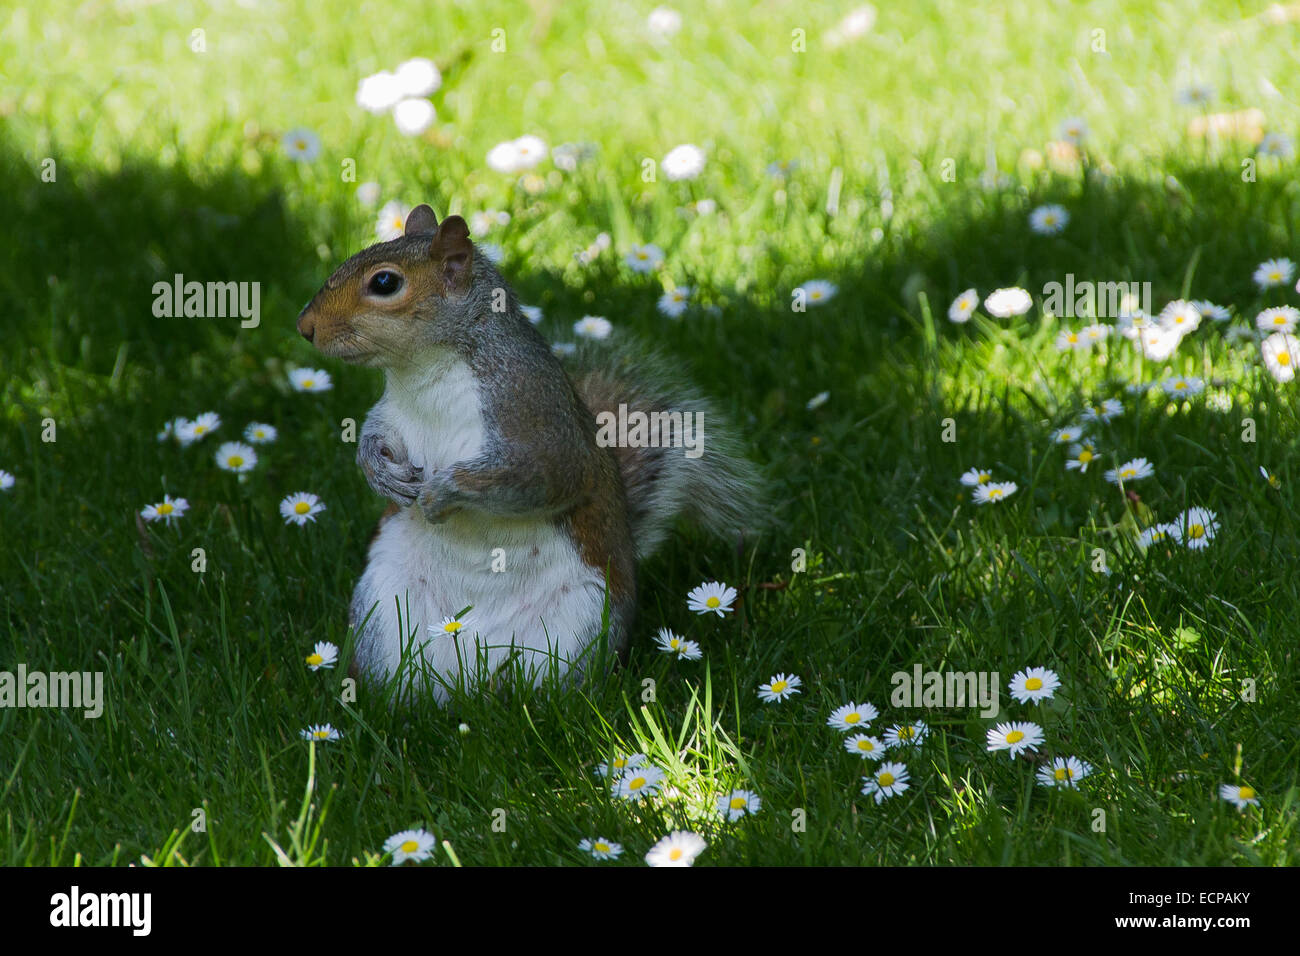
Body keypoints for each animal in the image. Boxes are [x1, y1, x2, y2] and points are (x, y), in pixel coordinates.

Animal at [297, 204, 759, 702]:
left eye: (384, 282)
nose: (305, 328)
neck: (424, 370)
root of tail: (469, 675)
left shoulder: (535, 418)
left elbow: (540, 478)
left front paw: (442, 492)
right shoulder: (393, 412)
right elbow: (372, 435)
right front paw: (379, 473)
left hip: (580, 623)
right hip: (384, 609)